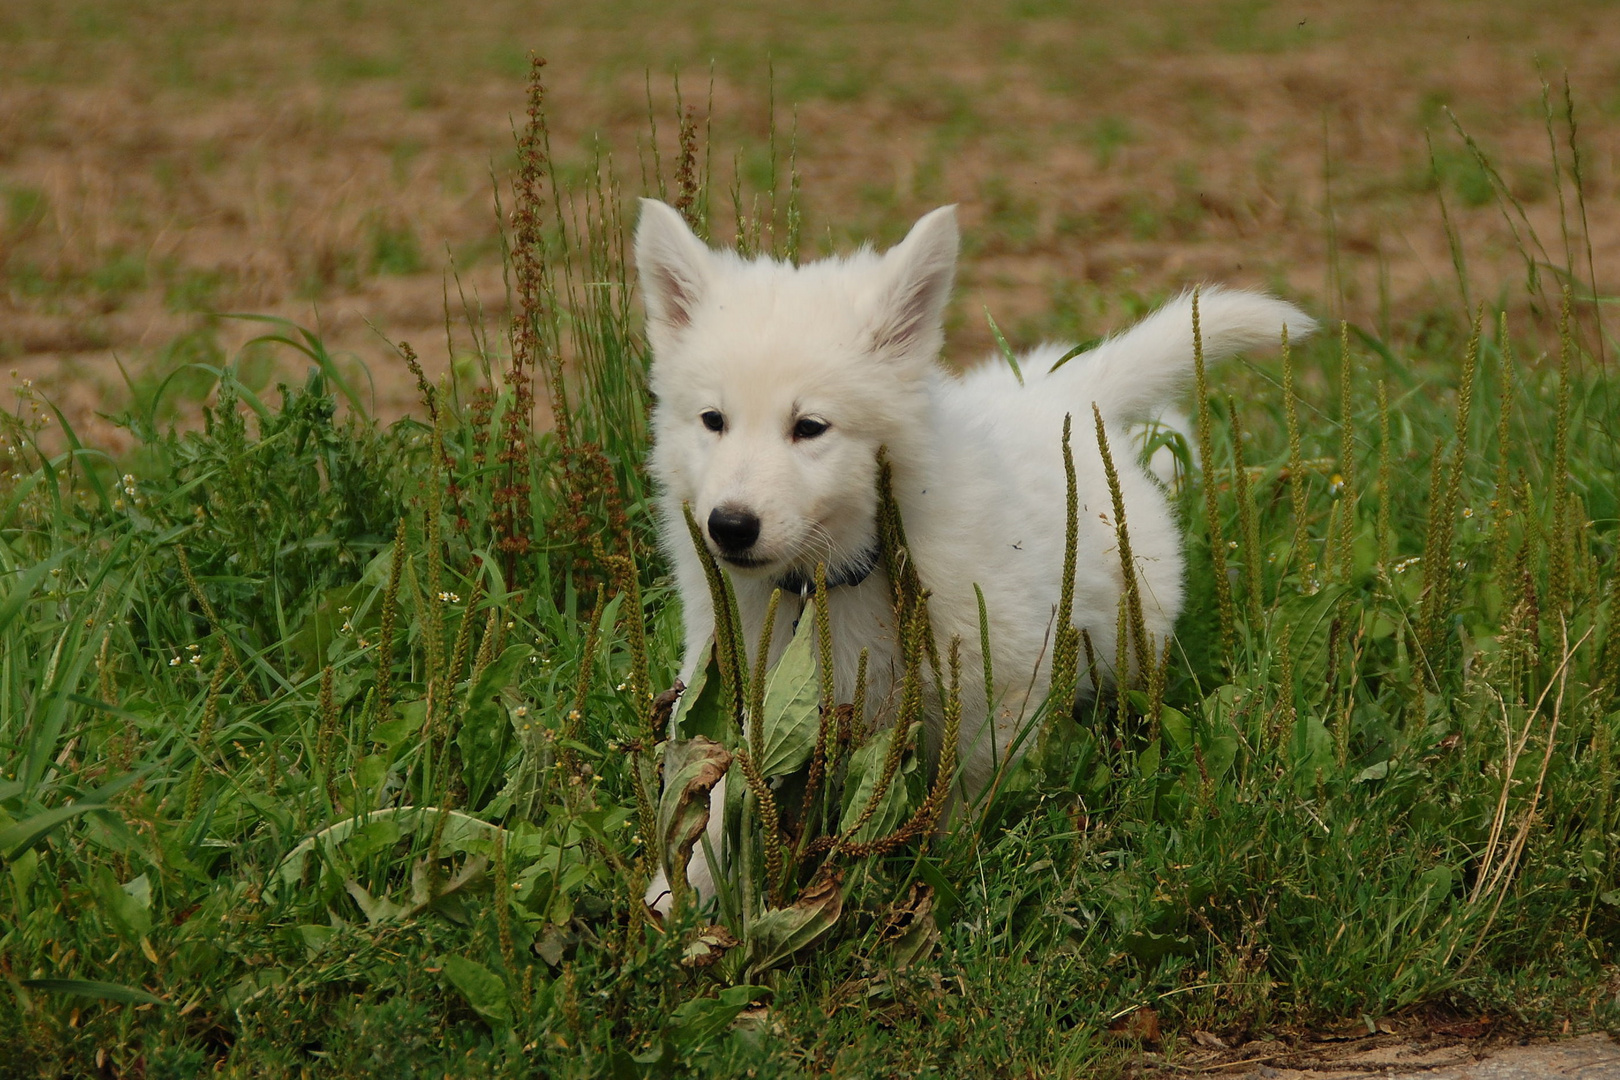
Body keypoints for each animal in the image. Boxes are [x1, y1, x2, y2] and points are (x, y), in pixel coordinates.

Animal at [625, 202, 1308, 913]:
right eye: (713, 420)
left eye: (809, 427)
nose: (729, 526)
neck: (833, 581)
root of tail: (1057, 393)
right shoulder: (739, 676)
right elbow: (715, 794)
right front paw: (674, 902)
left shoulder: (1000, 685)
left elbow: (964, 793)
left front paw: (946, 881)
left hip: (1129, 638)